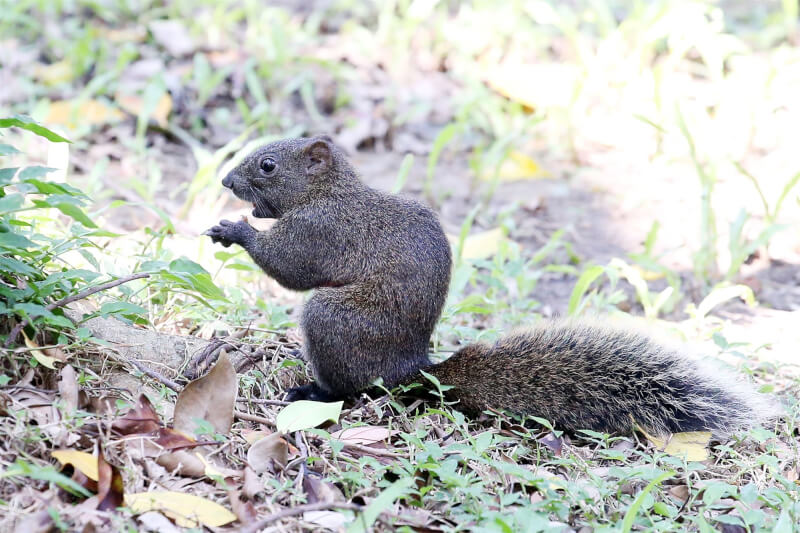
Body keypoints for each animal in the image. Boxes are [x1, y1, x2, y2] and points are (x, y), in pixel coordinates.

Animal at [205, 136, 776, 436]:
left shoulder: (321, 231)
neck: (327, 192)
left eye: (268, 165)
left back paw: (314, 390)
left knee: (352, 388)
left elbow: (289, 267)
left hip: (334, 321)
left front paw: (234, 230)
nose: (225, 182)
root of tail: (413, 370)